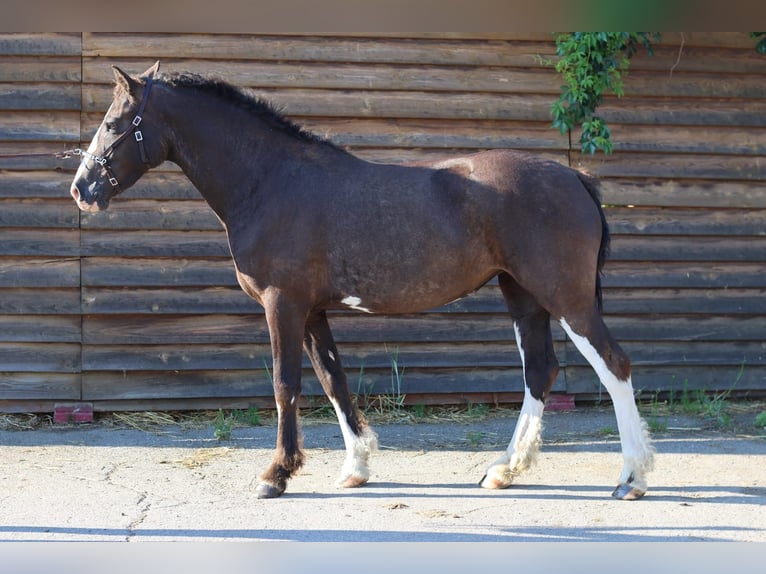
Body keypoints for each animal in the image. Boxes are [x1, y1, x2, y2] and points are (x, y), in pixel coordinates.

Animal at [69, 63, 656, 502]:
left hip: (566, 297)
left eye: (117, 122)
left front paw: (275, 475)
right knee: (540, 370)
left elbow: (285, 384)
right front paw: (355, 467)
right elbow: (333, 381)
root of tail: (574, 177)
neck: (270, 180)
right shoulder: (311, 310)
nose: (82, 189)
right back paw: (503, 470)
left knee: (614, 365)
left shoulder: (283, 304)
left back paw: (631, 477)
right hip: (524, 296)